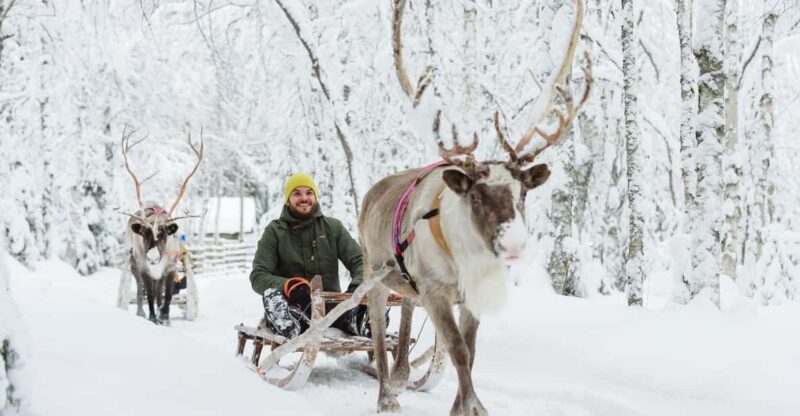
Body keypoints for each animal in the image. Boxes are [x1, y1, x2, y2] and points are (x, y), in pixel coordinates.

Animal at [121, 128, 203, 325]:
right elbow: (149, 294)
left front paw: (164, 317)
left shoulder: (170, 268)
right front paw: (152, 317)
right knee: (140, 290)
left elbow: (167, 296)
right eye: (143, 233)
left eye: (164, 233)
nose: (152, 258)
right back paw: (141, 313)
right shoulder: (144, 267)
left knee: (160, 292)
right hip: (133, 263)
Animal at [359, 0, 591, 414]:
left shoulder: (470, 297)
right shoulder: (435, 291)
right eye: (477, 196)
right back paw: (387, 394)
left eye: (523, 193)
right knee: (378, 333)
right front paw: (474, 405)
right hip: (373, 271)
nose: (514, 245)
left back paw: (402, 374)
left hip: (406, 283)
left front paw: (460, 406)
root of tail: (373, 191)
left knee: (405, 312)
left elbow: (470, 350)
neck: (464, 257)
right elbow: (457, 350)